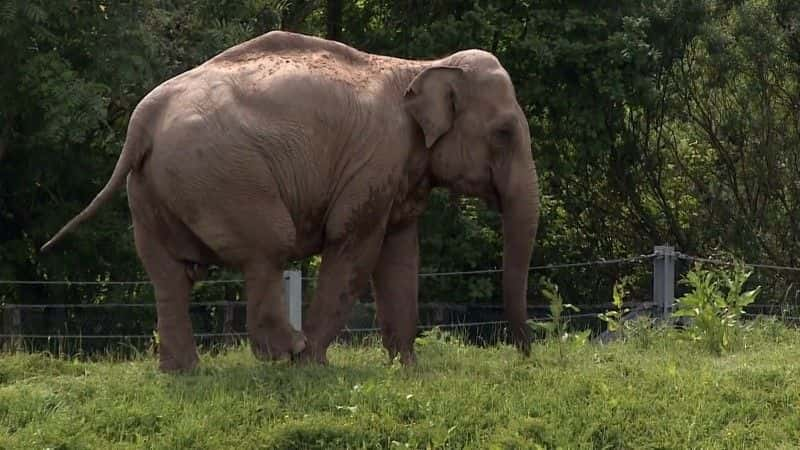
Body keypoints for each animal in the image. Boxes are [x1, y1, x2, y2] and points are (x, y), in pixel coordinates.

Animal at [39, 29, 536, 370]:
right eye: (504, 133)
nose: (526, 358)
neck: (420, 65)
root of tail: (143, 117)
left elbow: (400, 256)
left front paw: (408, 369)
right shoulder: (376, 160)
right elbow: (355, 248)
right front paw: (314, 362)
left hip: (150, 189)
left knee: (169, 273)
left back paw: (184, 372)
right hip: (226, 176)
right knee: (267, 248)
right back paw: (286, 352)